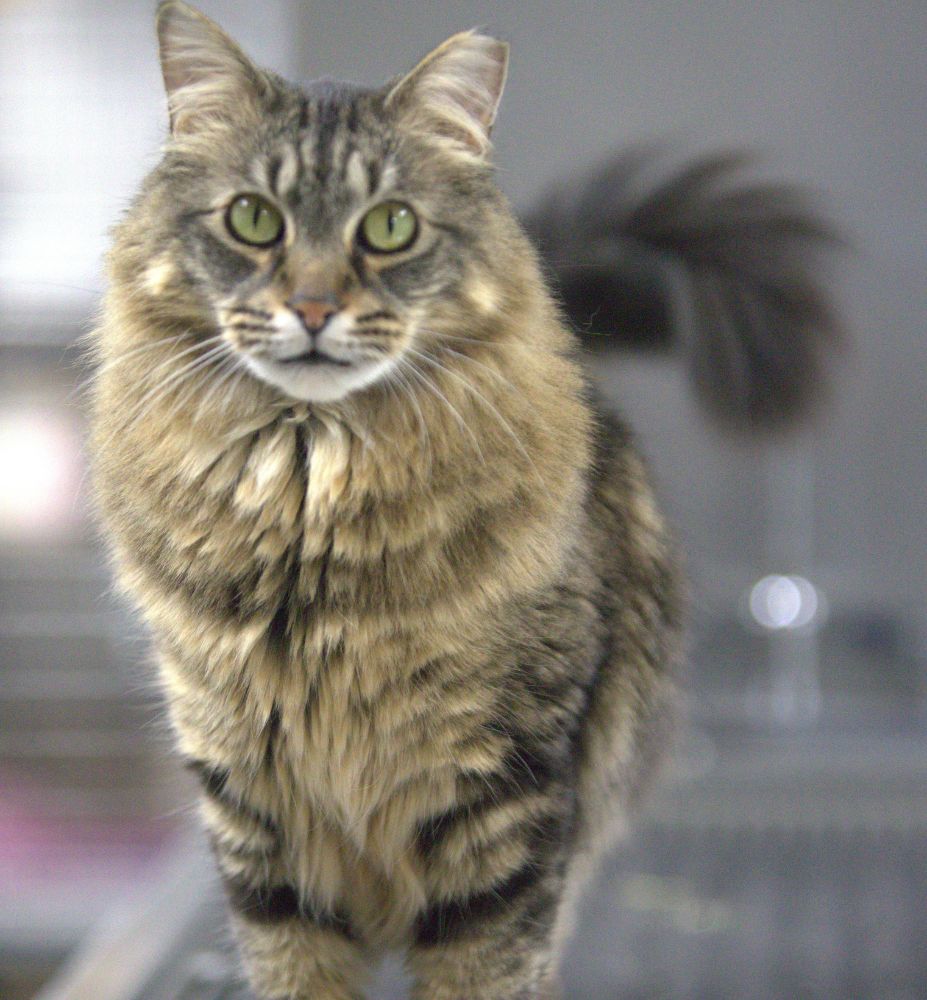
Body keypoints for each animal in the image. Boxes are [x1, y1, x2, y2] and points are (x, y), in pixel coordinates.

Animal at [89, 3, 840, 996]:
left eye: (390, 227)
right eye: (253, 219)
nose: (314, 308)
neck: (309, 512)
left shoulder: (504, 802)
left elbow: (488, 963)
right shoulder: (256, 820)